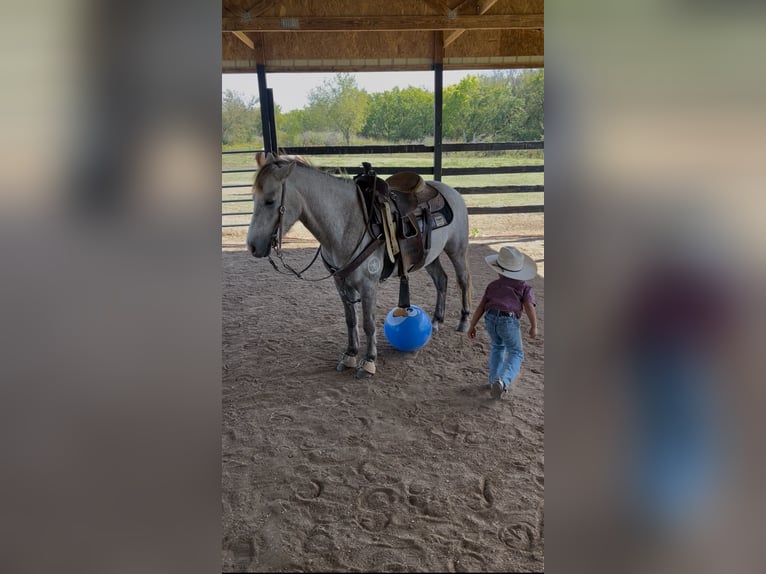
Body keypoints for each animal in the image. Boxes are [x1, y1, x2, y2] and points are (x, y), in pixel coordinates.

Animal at [246, 152, 472, 379]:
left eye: (270, 201)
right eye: (253, 199)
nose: (253, 246)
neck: (347, 223)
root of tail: (451, 191)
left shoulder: (368, 285)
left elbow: (368, 324)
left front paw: (369, 361)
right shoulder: (341, 283)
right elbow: (351, 320)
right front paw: (350, 355)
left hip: (457, 250)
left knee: (463, 281)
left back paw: (464, 321)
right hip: (428, 257)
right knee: (441, 280)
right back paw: (436, 321)